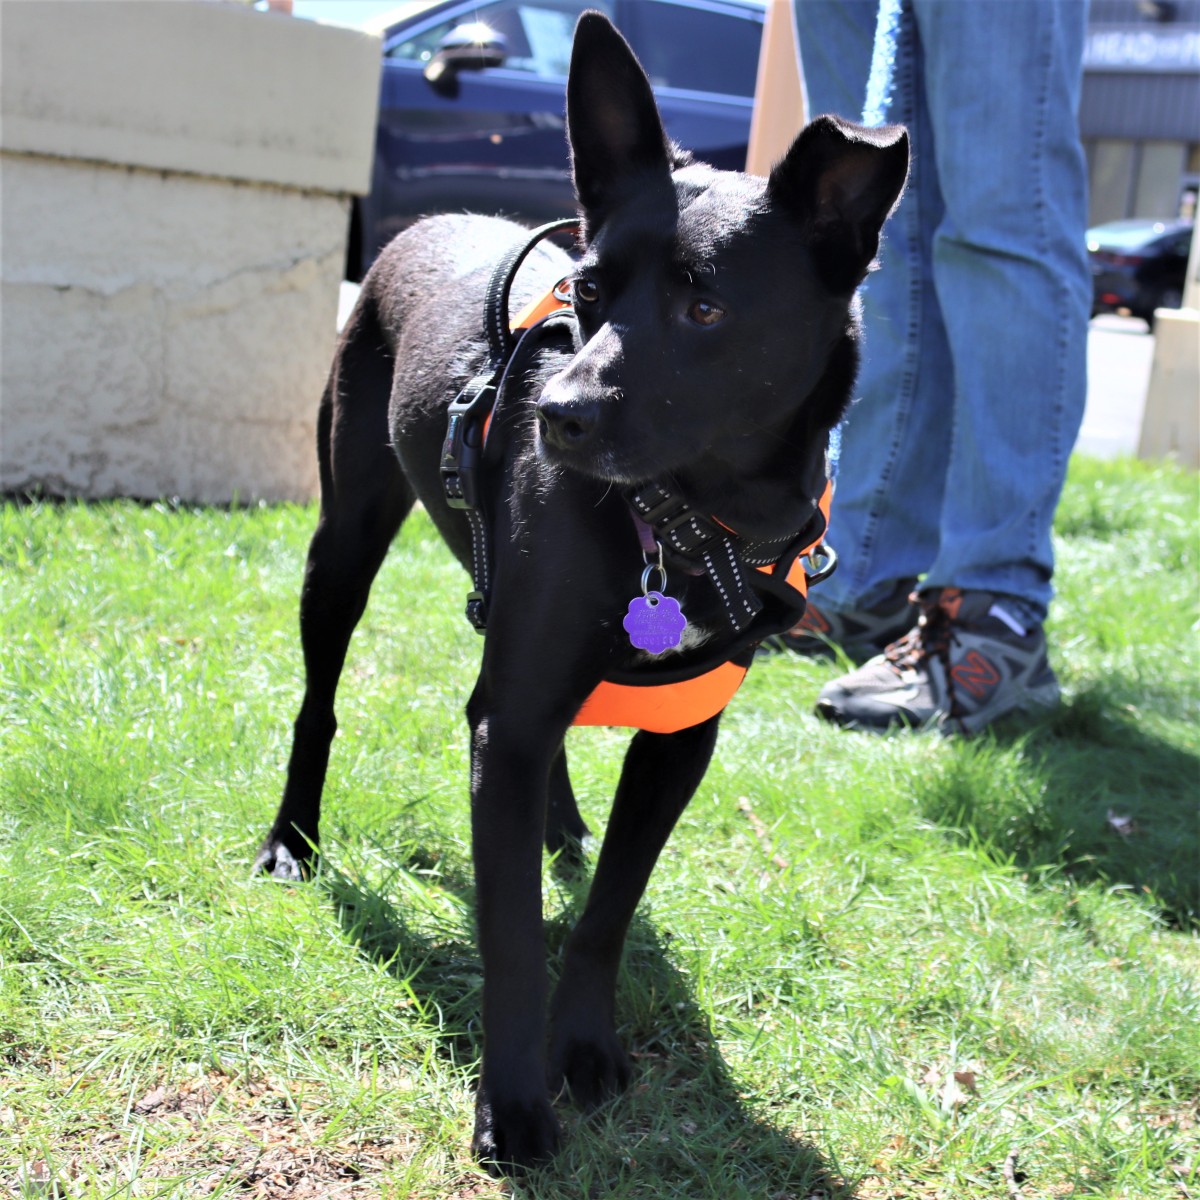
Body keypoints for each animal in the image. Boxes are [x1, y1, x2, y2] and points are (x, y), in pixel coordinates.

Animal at [255, 11, 907, 1171]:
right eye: (590, 295)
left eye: (705, 305)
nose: (554, 415)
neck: (684, 524)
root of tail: (432, 217)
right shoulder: (508, 721)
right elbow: (514, 928)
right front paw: (514, 1103)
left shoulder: (681, 737)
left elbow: (606, 909)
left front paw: (587, 1046)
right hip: (343, 546)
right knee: (319, 704)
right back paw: (293, 839)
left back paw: (559, 823)